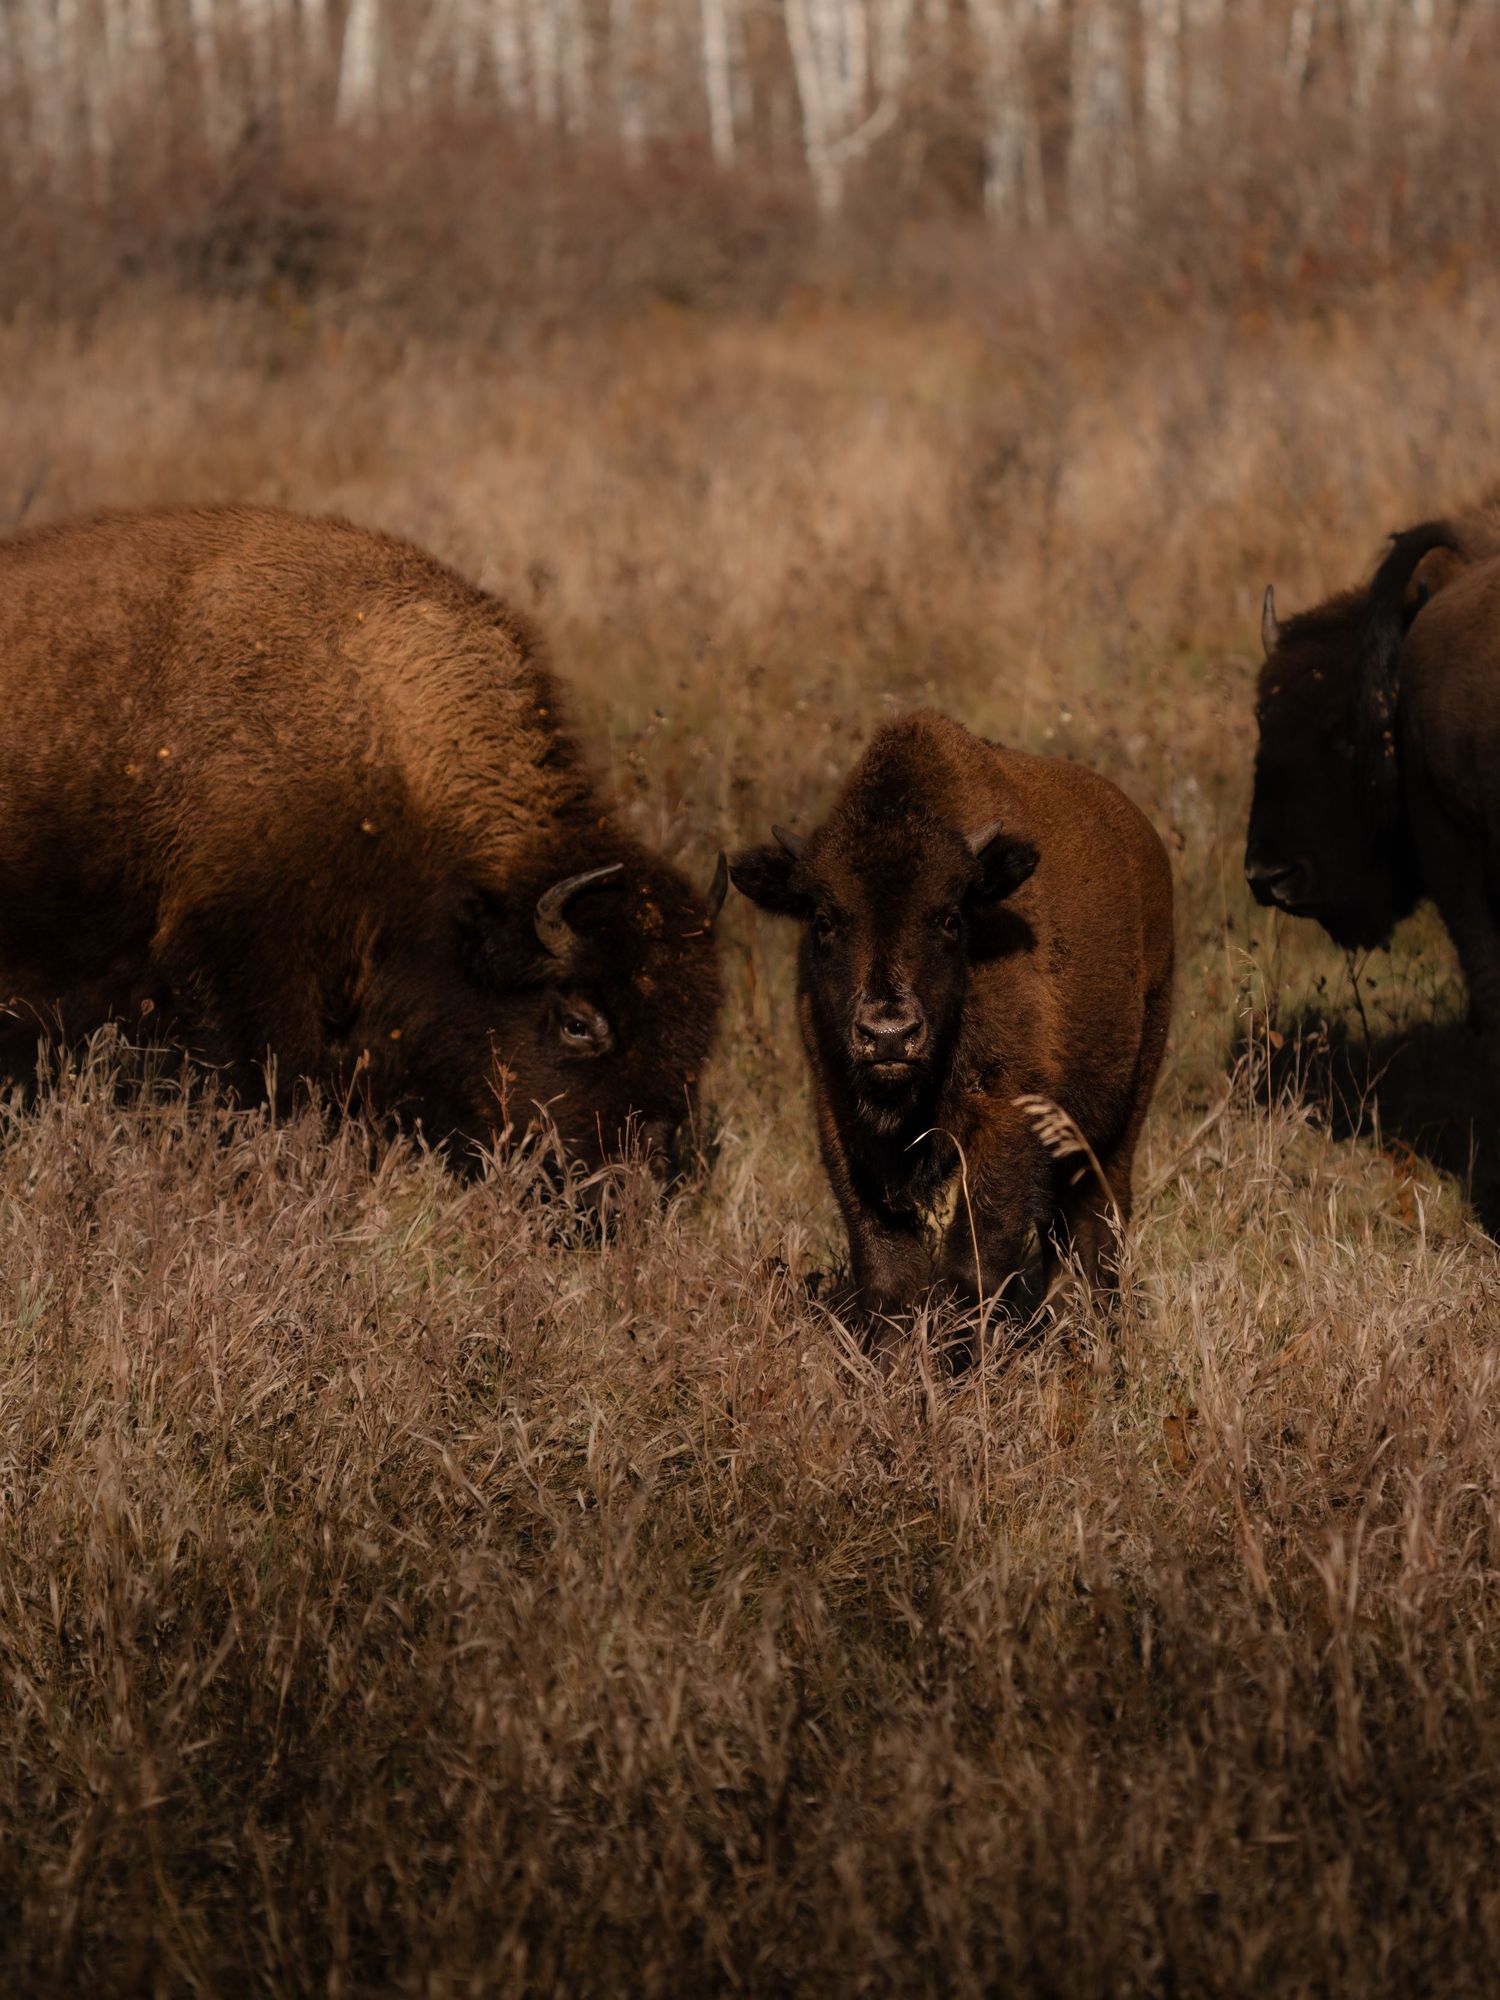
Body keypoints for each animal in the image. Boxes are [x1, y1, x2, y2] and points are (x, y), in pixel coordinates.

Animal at [731, 711, 1174, 1337]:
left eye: (948, 918)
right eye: (823, 919)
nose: (889, 1035)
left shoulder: (1004, 1115)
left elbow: (975, 1261)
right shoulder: (841, 1118)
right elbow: (885, 1266)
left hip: (1126, 1099)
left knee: (1098, 1214)